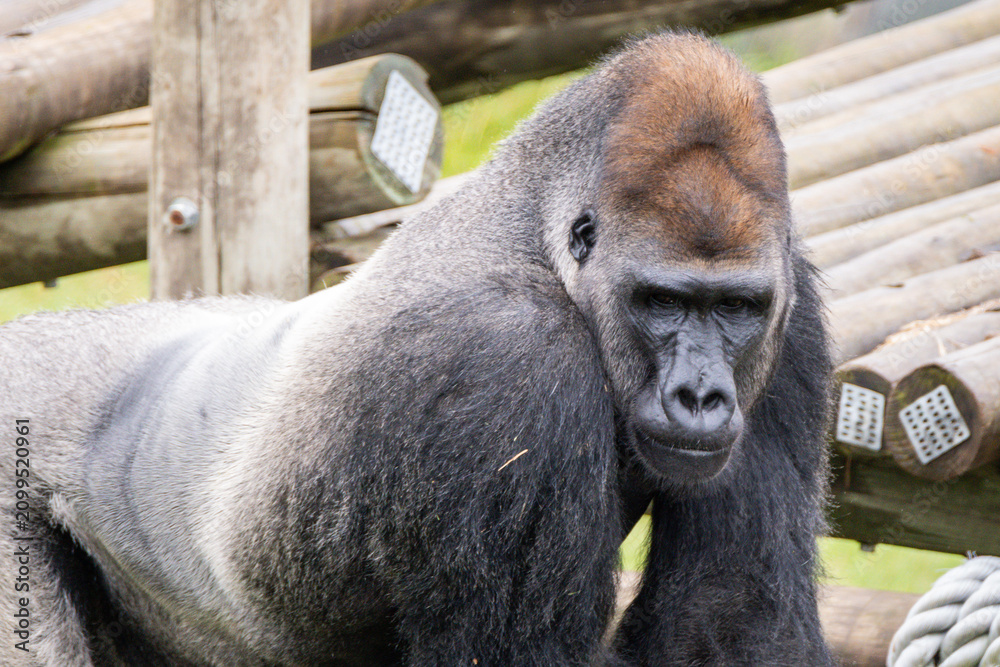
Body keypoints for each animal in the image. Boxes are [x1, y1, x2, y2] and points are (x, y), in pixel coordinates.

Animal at [0, 31, 832, 665]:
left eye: (735, 307)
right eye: (660, 301)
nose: (701, 395)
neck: (538, 231)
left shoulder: (790, 320)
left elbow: (726, 619)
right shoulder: (509, 366)